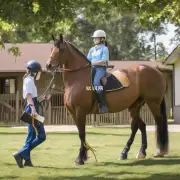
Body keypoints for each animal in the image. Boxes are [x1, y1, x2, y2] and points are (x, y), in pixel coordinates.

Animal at [46, 34, 169, 165]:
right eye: (51, 49)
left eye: (61, 49)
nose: (48, 65)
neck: (78, 79)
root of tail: (157, 72)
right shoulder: (73, 112)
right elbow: (80, 133)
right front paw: (83, 156)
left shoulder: (80, 111)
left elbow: (82, 133)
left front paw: (80, 159)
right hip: (135, 106)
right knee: (139, 126)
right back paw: (132, 152)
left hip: (153, 103)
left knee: (158, 122)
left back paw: (159, 151)